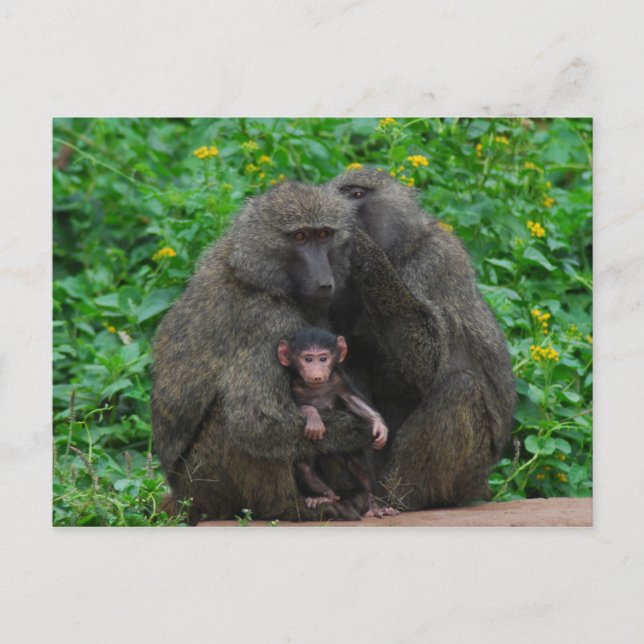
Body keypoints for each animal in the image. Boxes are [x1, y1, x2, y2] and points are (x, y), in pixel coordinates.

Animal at [151, 181, 374, 524]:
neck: (256, 276)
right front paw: (360, 429)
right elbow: (253, 423)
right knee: (233, 425)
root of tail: (180, 494)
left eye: (324, 234)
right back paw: (289, 507)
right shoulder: (268, 323)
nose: (325, 282)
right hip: (205, 483)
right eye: (300, 237)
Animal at [277, 327, 398, 517]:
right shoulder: (292, 384)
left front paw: (379, 426)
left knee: (357, 461)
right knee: (304, 466)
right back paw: (324, 496)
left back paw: (373, 505)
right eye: (308, 359)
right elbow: (288, 409)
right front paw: (313, 416)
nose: (317, 373)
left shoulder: (339, 379)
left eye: (323, 358)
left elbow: (353, 400)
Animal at [327, 168, 516, 511]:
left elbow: (427, 367)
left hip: (466, 474)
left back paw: (395, 499)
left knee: (460, 388)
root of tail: (481, 486)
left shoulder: (434, 261)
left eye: (356, 194)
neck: (400, 250)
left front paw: (363, 250)